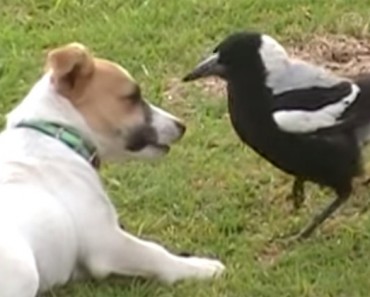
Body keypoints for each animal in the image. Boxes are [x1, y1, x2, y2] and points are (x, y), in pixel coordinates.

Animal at [0, 42, 224, 296]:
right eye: (132, 97)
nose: (182, 126)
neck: (59, 135)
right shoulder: (107, 242)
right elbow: (156, 253)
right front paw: (201, 267)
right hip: (24, 266)